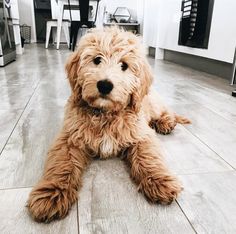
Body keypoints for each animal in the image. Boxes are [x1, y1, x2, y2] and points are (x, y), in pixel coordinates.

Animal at [27, 26, 190, 222]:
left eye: (124, 65)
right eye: (97, 60)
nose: (105, 85)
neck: (105, 114)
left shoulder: (141, 134)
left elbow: (148, 157)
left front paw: (160, 181)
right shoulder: (70, 137)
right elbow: (62, 163)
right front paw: (52, 193)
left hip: (153, 104)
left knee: (167, 111)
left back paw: (166, 123)